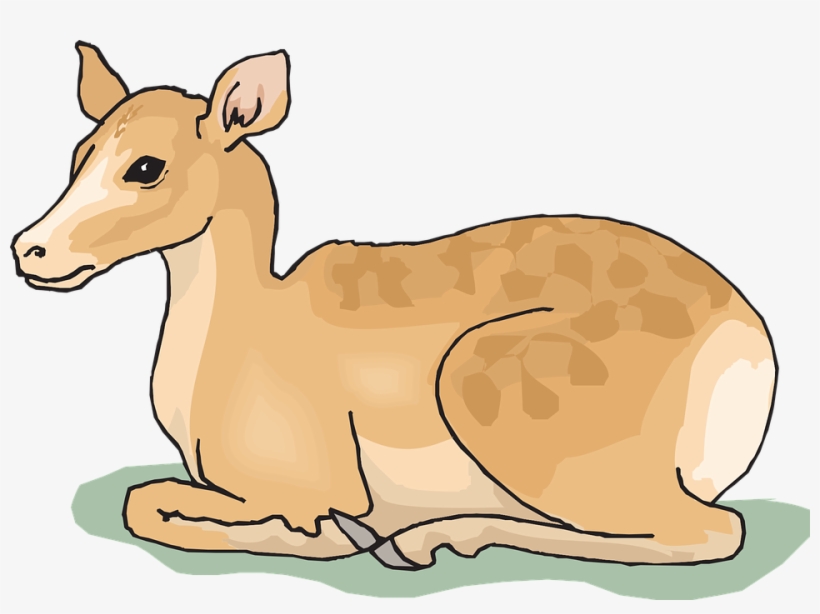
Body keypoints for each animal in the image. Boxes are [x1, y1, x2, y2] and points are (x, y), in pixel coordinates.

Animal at [11, 42, 777, 570]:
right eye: (80, 152)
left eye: (146, 166)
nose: (29, 250)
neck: (242, 334)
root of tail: (745, 340)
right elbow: (143, 500)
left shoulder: (307, 484)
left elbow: (154, 505)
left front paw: (331, 536)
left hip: (497, 393)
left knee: (715, 530)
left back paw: (429, 539)